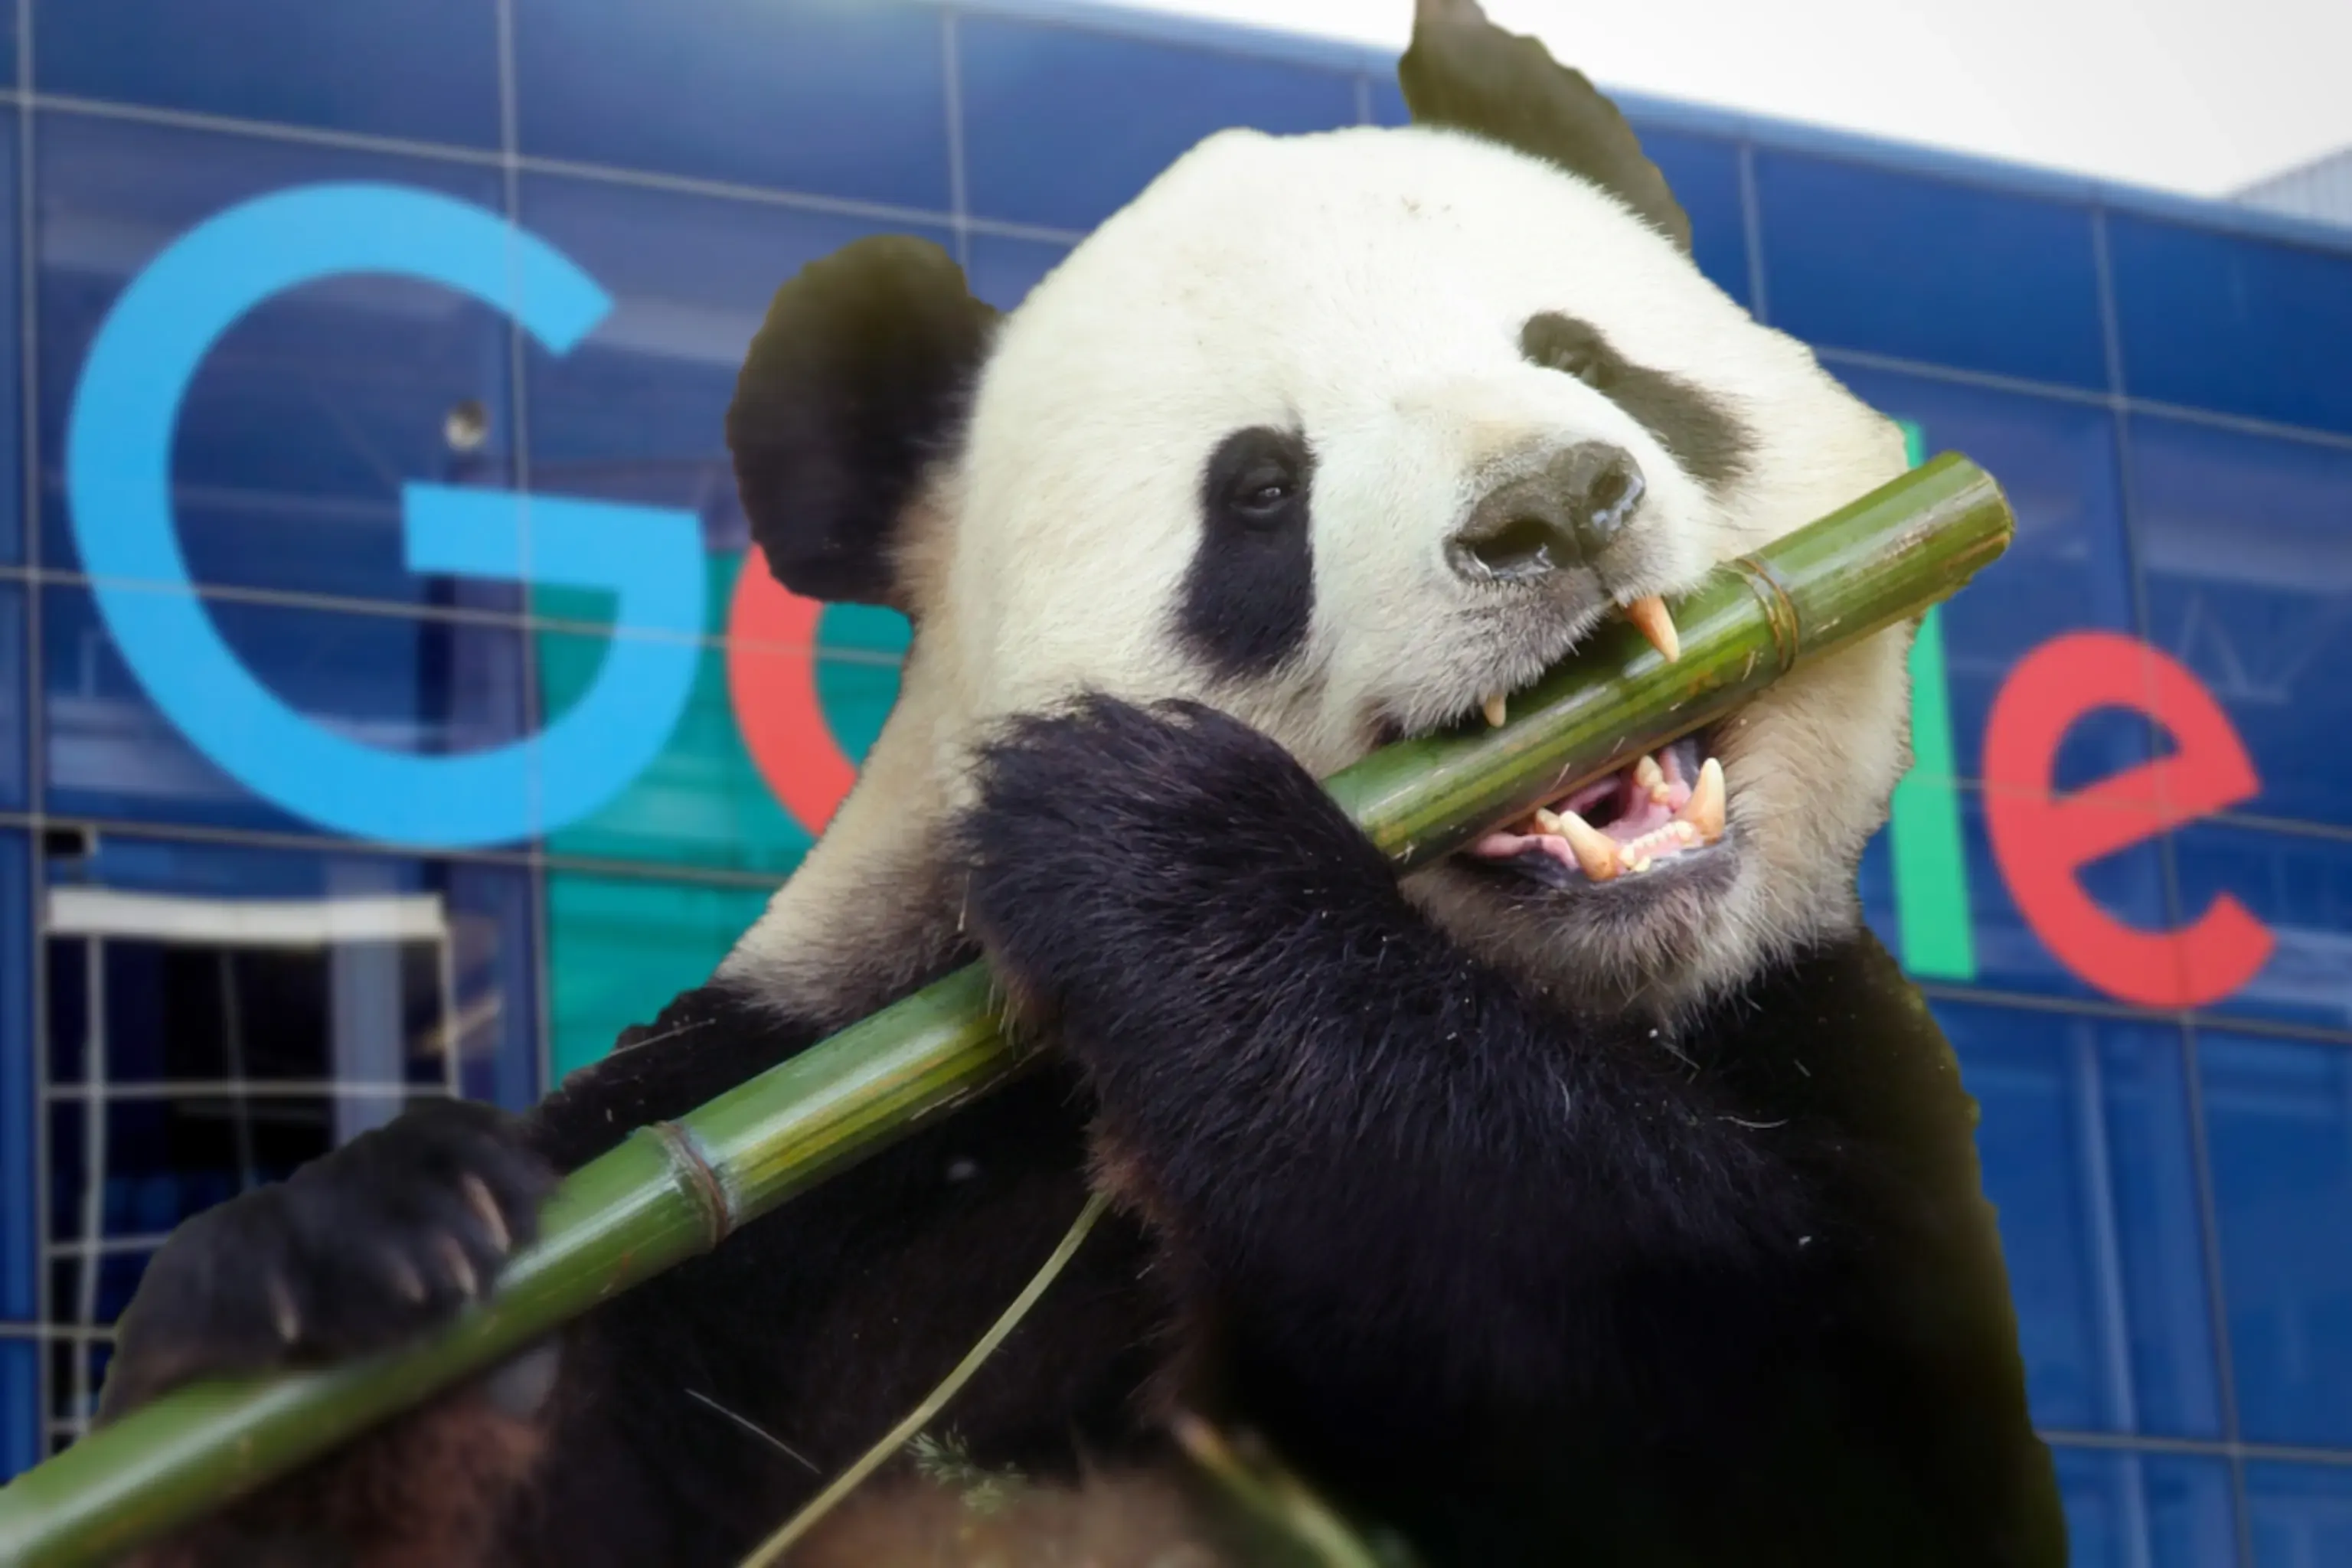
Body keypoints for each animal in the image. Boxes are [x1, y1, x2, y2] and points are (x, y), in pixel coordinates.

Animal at [97, 3, 2066, 1565]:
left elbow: (1765, 1428)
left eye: (1583, 357)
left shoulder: (1819, 1044)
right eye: (1259, 491)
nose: (1552, 506)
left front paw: (1158, 852)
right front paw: (342, 1283)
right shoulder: (802, 1157)